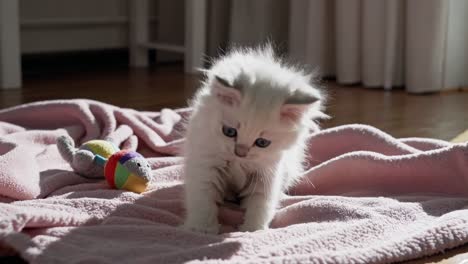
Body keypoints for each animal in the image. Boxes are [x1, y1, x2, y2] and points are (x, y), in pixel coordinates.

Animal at [182, 44, 326, 233]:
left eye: (262, 143)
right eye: (229, 132)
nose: (240, 152)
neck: (238, 164)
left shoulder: (267, 172)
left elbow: (261, 204)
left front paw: (253, 230)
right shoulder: (206, 163)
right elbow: (203, 200)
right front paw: (202, 229)